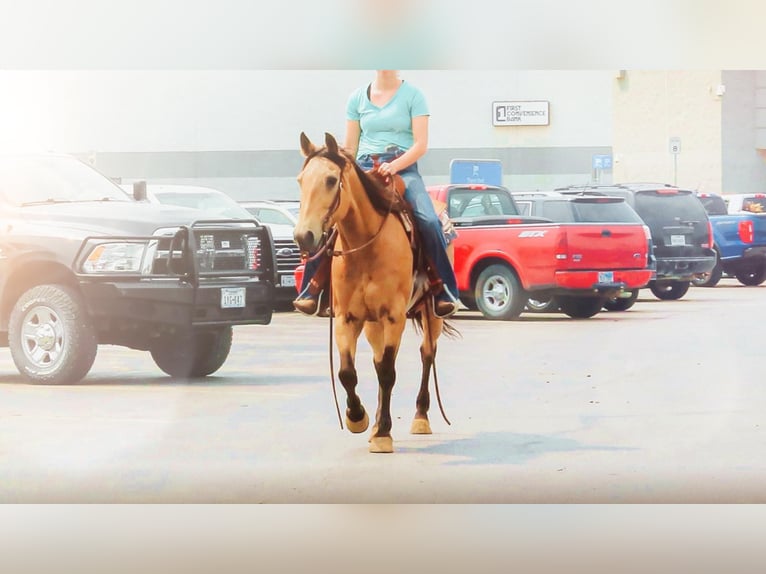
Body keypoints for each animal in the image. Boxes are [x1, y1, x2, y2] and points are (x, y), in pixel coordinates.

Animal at [294, 133, 456, 456]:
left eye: (331, 180)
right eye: (301, 180)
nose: (303, 236)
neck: (366, 247)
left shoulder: (394, 317)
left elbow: (388, 373)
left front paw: (382, 433)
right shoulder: (347, 318)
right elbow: (348, 372)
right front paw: (359, 419)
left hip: (431, 314)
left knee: (426, 354)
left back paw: (420, 417)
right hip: (372, 323)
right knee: (380, 360)